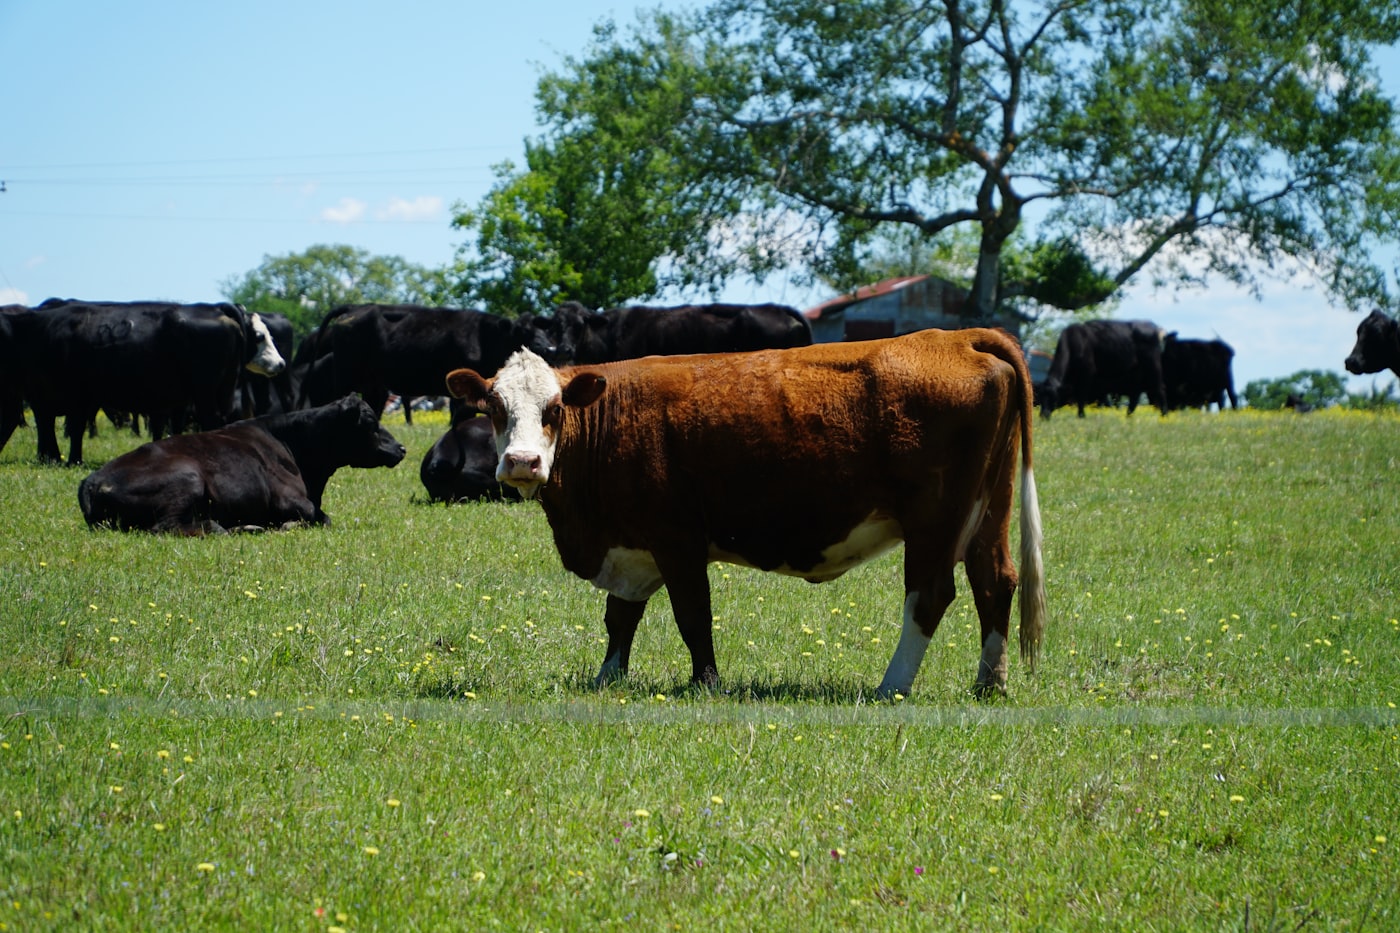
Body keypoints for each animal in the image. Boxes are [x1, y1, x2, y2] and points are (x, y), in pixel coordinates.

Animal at [0, 300, 286, 464]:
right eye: (260, 336)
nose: (281, 363)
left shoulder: (70, 396)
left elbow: (70, 427)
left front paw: (67, 460)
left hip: (206, 393)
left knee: (211, 420)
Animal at [77, 396, 405, 534]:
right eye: (370, 421)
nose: (401, 448)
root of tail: (92, 479)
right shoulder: (291, 500)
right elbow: (320, 518)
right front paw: (285, 526)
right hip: (187, 478)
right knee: (167, 526)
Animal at [298, 304, 554, 416]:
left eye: (542, 329)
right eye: (522, 332)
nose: (549, 346)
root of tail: (356, 307)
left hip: (374, 384)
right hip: (345, 377)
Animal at [446, 328, 1047, 698]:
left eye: (555, 409)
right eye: (494, 407)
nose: (522, 463)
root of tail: (956, 336)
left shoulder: (677, 539)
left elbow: (692, 615)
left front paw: (706, 684)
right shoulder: (633, 545)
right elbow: (621, 617)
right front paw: (607, 678)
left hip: (935, 520)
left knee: (930, 596)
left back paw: (891, 686)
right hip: (987, 511)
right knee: (995, 582)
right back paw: (989, 683)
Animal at [1039, 319, 1167, 418]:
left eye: (1053, 397)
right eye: (1041, 396)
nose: (1043, 415)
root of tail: (1153, 326)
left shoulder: (1088, 374)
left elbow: (1081, 396)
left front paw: (1081, 416)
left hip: (1153, 366)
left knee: (1160, 389)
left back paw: (1164, 417)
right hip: (1136, 376)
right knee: (1134, 398)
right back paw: (1128, 418)